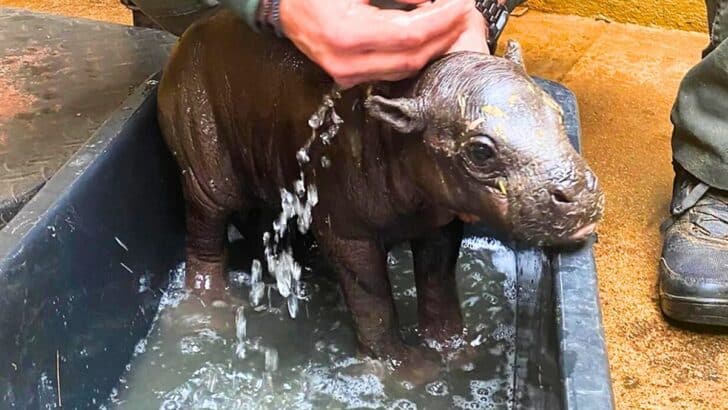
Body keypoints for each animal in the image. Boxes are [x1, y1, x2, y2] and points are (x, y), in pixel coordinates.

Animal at [156, 9, 604, 383]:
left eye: (556, 111)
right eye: (479, 151)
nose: (576, 188)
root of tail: (184, 40)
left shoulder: (438, 219)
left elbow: (438, 283)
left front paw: (456, 354)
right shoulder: (348, 231)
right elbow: (371, 297)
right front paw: (409, 373)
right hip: (204, 162)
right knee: (205, 230)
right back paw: (209, 313)